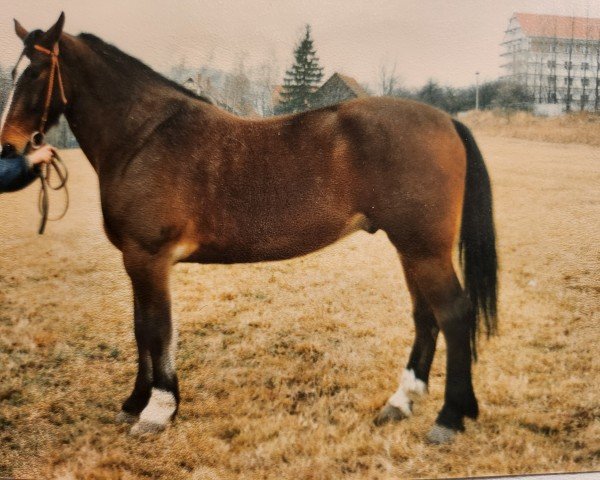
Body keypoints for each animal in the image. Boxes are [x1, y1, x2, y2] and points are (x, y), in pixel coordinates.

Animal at [0, 14, 496, 442]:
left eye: (37, 72)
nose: (8, 147)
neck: (144, 137)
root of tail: (446, 119)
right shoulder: (137, 261)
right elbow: (141, 329)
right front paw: (136, 401)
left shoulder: (148, 258)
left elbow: (156, 330)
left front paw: (158, 410)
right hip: (411, 248)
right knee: (425, 316)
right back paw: (401, 401)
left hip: (424, 249)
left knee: (453, 314)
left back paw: (450, 418)